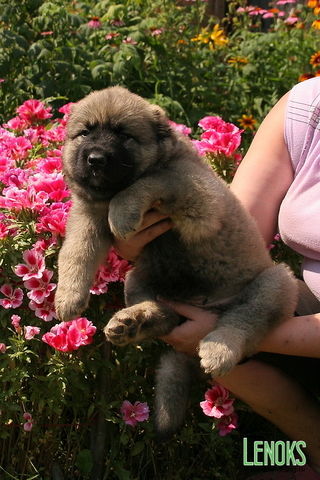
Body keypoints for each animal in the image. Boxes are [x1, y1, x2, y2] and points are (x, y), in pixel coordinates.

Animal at [55, 87, 298, 442]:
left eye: (124, 135)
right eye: (85, 133)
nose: (96, 159)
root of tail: (205, 307)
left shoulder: (200, 197)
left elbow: (148, 181)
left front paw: (123, 211)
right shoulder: (87, 219)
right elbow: (75, 254)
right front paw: (67, 297)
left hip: (278, 280)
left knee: (246, 319)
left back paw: (219, 348)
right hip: (137, 278)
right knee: (165, 316)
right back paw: (133, 322)